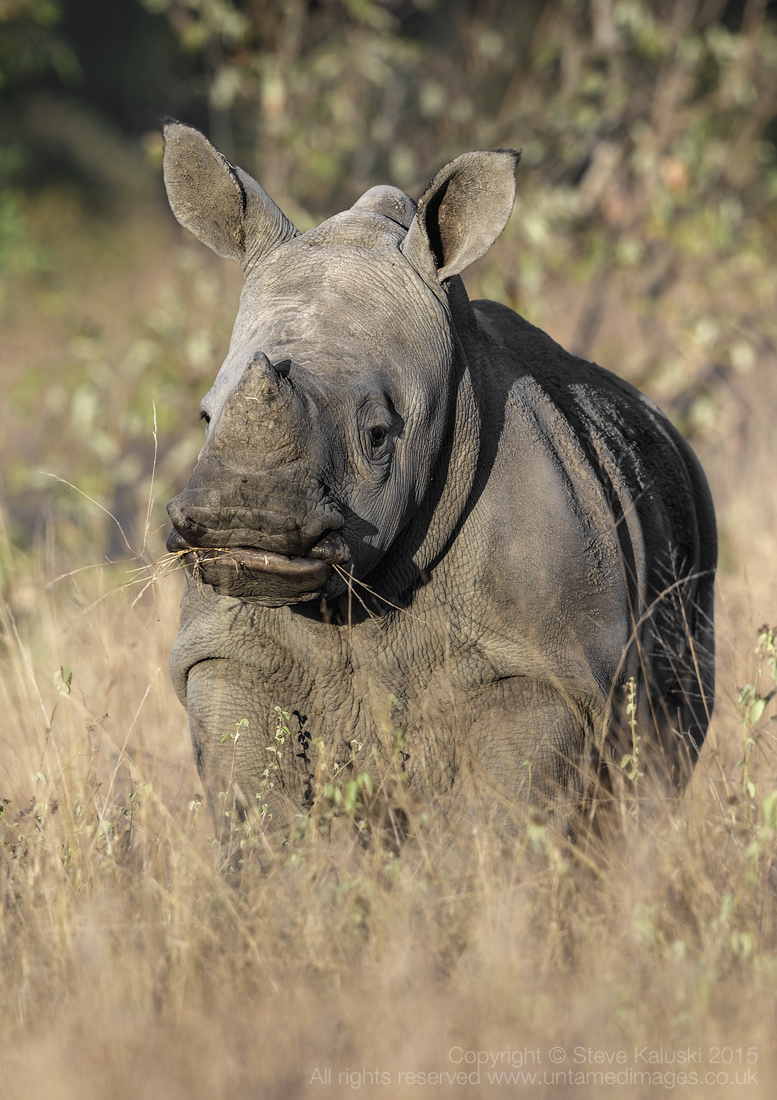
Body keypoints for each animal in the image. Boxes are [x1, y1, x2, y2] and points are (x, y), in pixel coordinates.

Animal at [162, 121, 716, 834]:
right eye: (206, 415)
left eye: (378, 434)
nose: (245, 524)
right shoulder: (226, 651)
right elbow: (254, 805)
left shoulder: (540, 666)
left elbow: (502, 818)